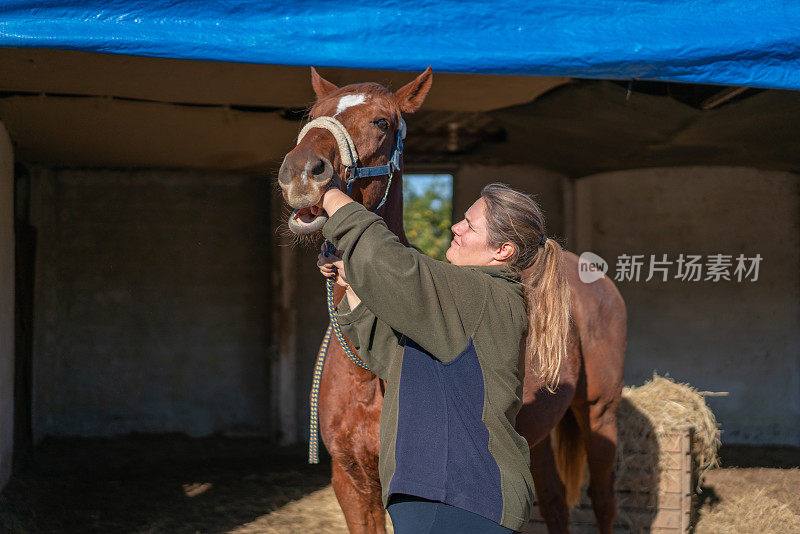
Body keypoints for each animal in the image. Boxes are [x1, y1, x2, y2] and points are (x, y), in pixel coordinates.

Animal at [278, 68, 628, 534]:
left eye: (382, 122)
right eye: (312, 115)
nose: (301, 171)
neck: (369, 375)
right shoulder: (351, 483)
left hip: (600, 414)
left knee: (604, 499)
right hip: (536, 439)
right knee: (555, 502)